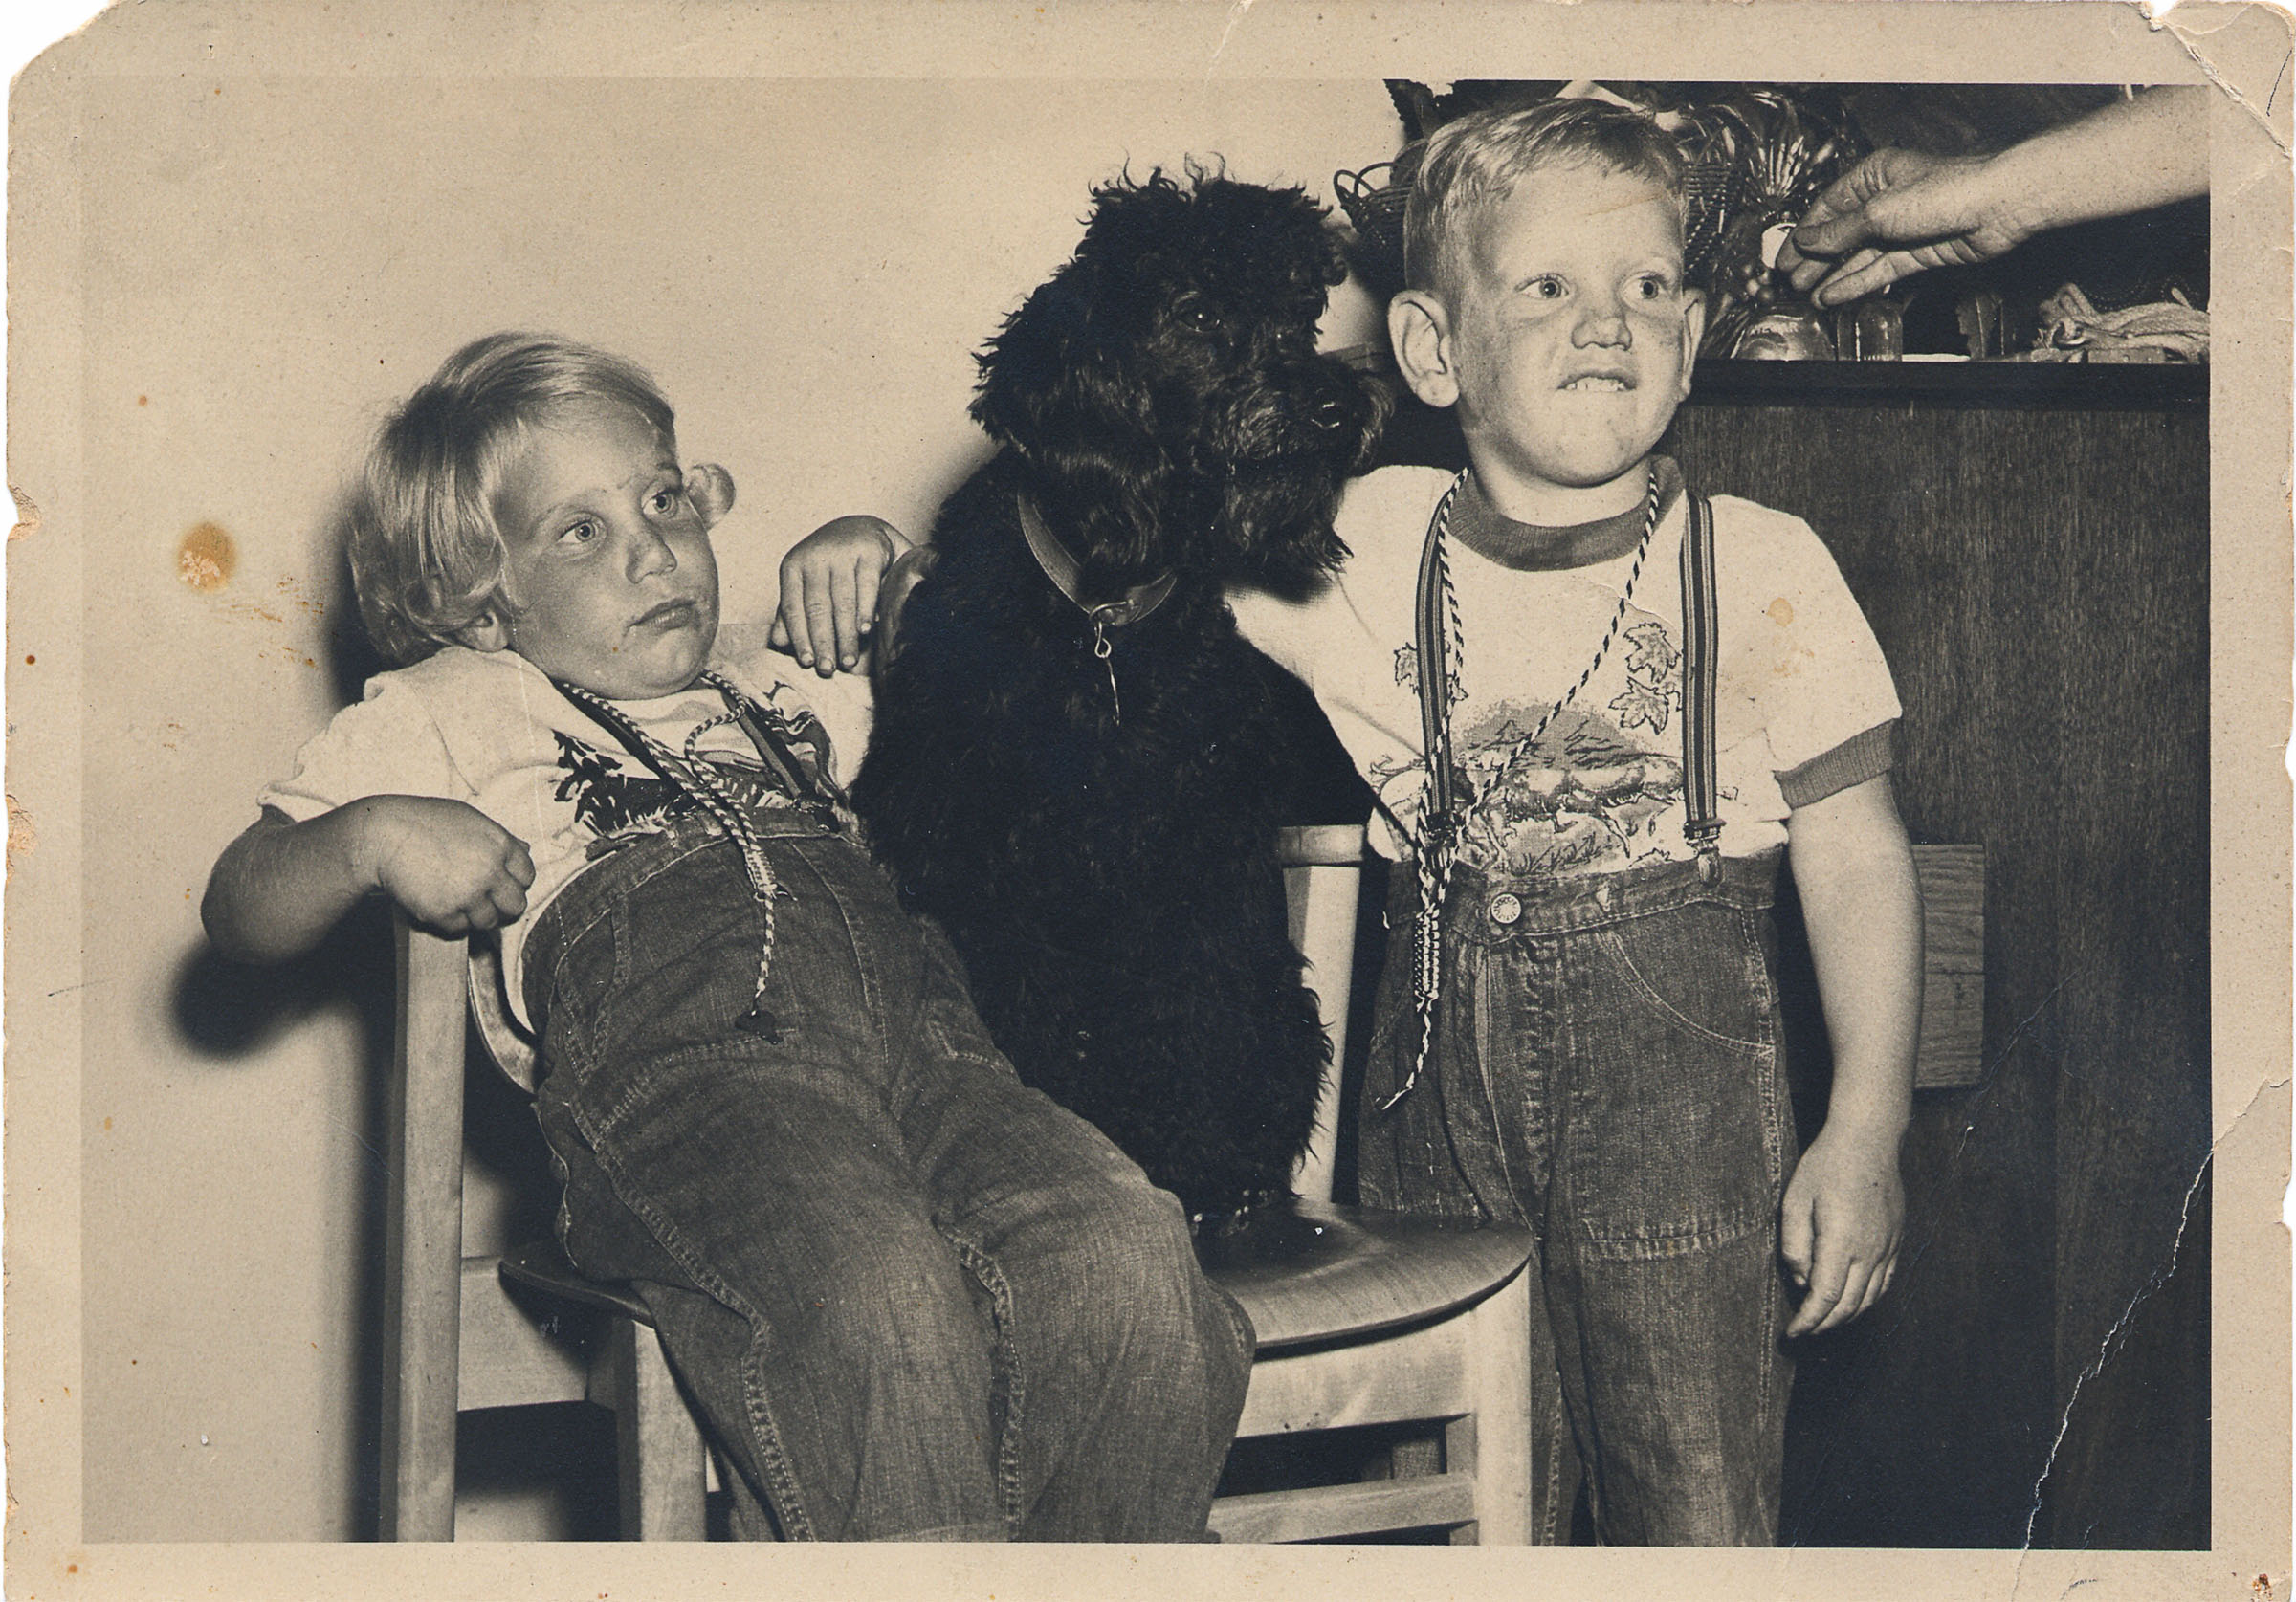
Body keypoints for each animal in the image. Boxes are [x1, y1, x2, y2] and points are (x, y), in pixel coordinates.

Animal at [853, 171, 1386, 1220]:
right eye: (1200, 313)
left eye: (1300, 312)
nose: (1338, 403)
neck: (1102, 617)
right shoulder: (988, 871)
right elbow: (1044, 1022)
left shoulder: (1202, 864)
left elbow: (1203, 1017)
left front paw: (1214, 1164)